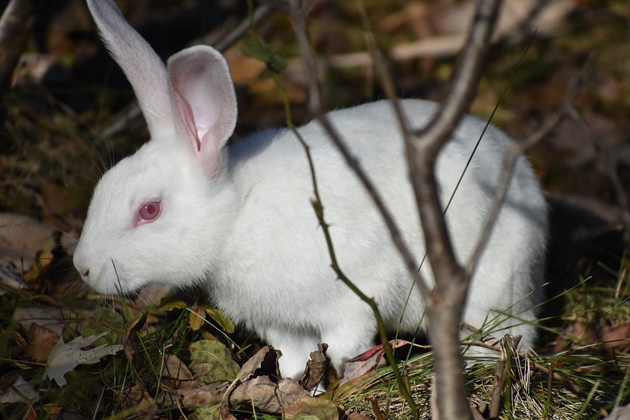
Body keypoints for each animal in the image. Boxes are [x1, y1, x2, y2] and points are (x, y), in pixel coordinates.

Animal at [73, 0, 548, 380]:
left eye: (149, 210)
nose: (83, 267)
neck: (235, 218)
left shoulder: (356, 297)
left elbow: (344, 348)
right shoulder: (284, 327)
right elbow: (295, 362)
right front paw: (303, 388)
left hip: (493, 287)